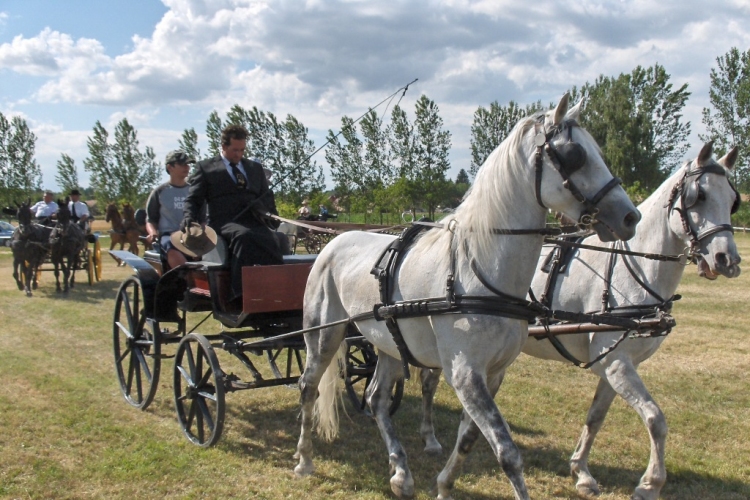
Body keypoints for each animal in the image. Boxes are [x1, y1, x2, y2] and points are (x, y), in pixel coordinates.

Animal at [296, 94, 644, 500]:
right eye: (574, 155)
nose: (630, 217)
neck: (478, 271)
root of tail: (333, 242)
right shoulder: (465, 374)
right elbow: (507, 452)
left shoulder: (492, 374)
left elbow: (469, 438)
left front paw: (444, 486)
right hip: (323, 336)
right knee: (308, 387)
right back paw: (304, 460)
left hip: (388, 345)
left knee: (377, 399)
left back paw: (401, 473)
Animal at [418, 142, 748, 500]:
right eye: (697, 196)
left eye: (733, 200)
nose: (727, 260)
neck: (633, 269)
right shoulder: (617, 364)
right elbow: (655, 419)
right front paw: (650, 484)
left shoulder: (615, 364)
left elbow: (596, 417)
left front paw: (581, 471)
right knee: (427, 382)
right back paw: (430, 438)